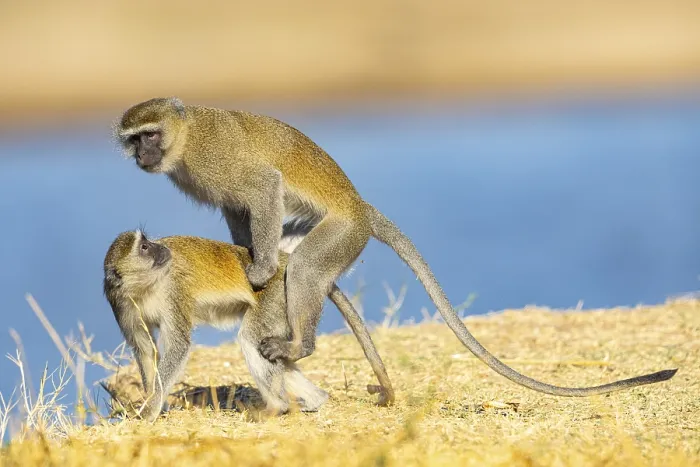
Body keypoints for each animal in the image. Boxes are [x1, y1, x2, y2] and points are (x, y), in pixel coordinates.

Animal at [103, 229, 394, 422]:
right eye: (144, 247)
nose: (161, 248)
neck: (145, 287)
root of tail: (287, 261)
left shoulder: (174, 290)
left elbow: (178, 345)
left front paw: (149, 410)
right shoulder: (120, 302)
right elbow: (145, 349)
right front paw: (152, 403)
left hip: (278, 294)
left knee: (252, 338)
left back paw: (277, 406)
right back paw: (315, 400)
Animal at [115, 97, 677, 398]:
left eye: (149, 135)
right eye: (132, 139)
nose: (141, 156)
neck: (186, 137)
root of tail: (361, 209)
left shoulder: (216, 161)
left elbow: (262, 187)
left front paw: (260, 268)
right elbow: (241, 209)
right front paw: (248, 256)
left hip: (342, 235)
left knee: (307, 271)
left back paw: (299, 341)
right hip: (321, 229)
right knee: (303, 262)